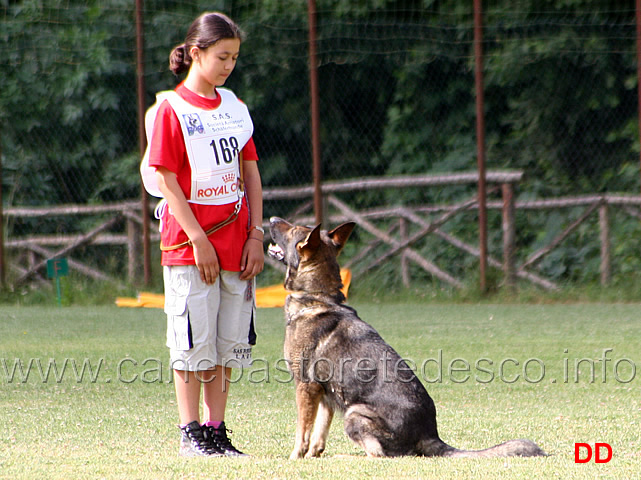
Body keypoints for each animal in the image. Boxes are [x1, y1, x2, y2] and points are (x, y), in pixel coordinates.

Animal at [266, 217, 544, 458]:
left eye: (292, 230)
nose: (271, 218)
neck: (317, 297)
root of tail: (430, 434)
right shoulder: (326, 396)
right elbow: (318, 436)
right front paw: (313, 456)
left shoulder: (305, 387)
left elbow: (302, 432)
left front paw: (295, 458)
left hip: (354, 413)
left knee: (378, 455)